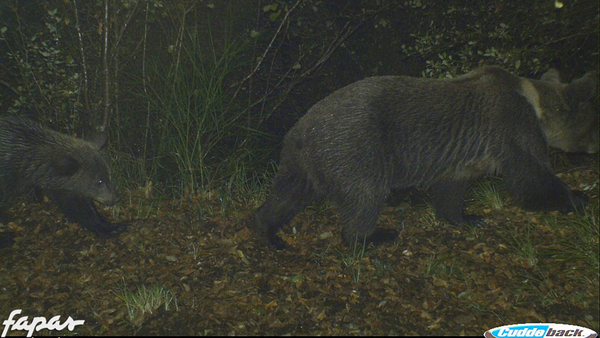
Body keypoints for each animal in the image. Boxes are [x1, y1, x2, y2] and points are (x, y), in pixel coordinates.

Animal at [252, 66, 596, 251]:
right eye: (594, 125)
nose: (594, 149)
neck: (534, 105)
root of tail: (301, 127)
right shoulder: (511, 124)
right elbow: (532, 177)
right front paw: (577, 198)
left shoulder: (460, 159)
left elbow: (451, 189)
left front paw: (467, 217)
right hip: (354, 146)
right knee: (365, 196)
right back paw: (375, 235)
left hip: (302, 161)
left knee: (286, 196)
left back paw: (269, 232)